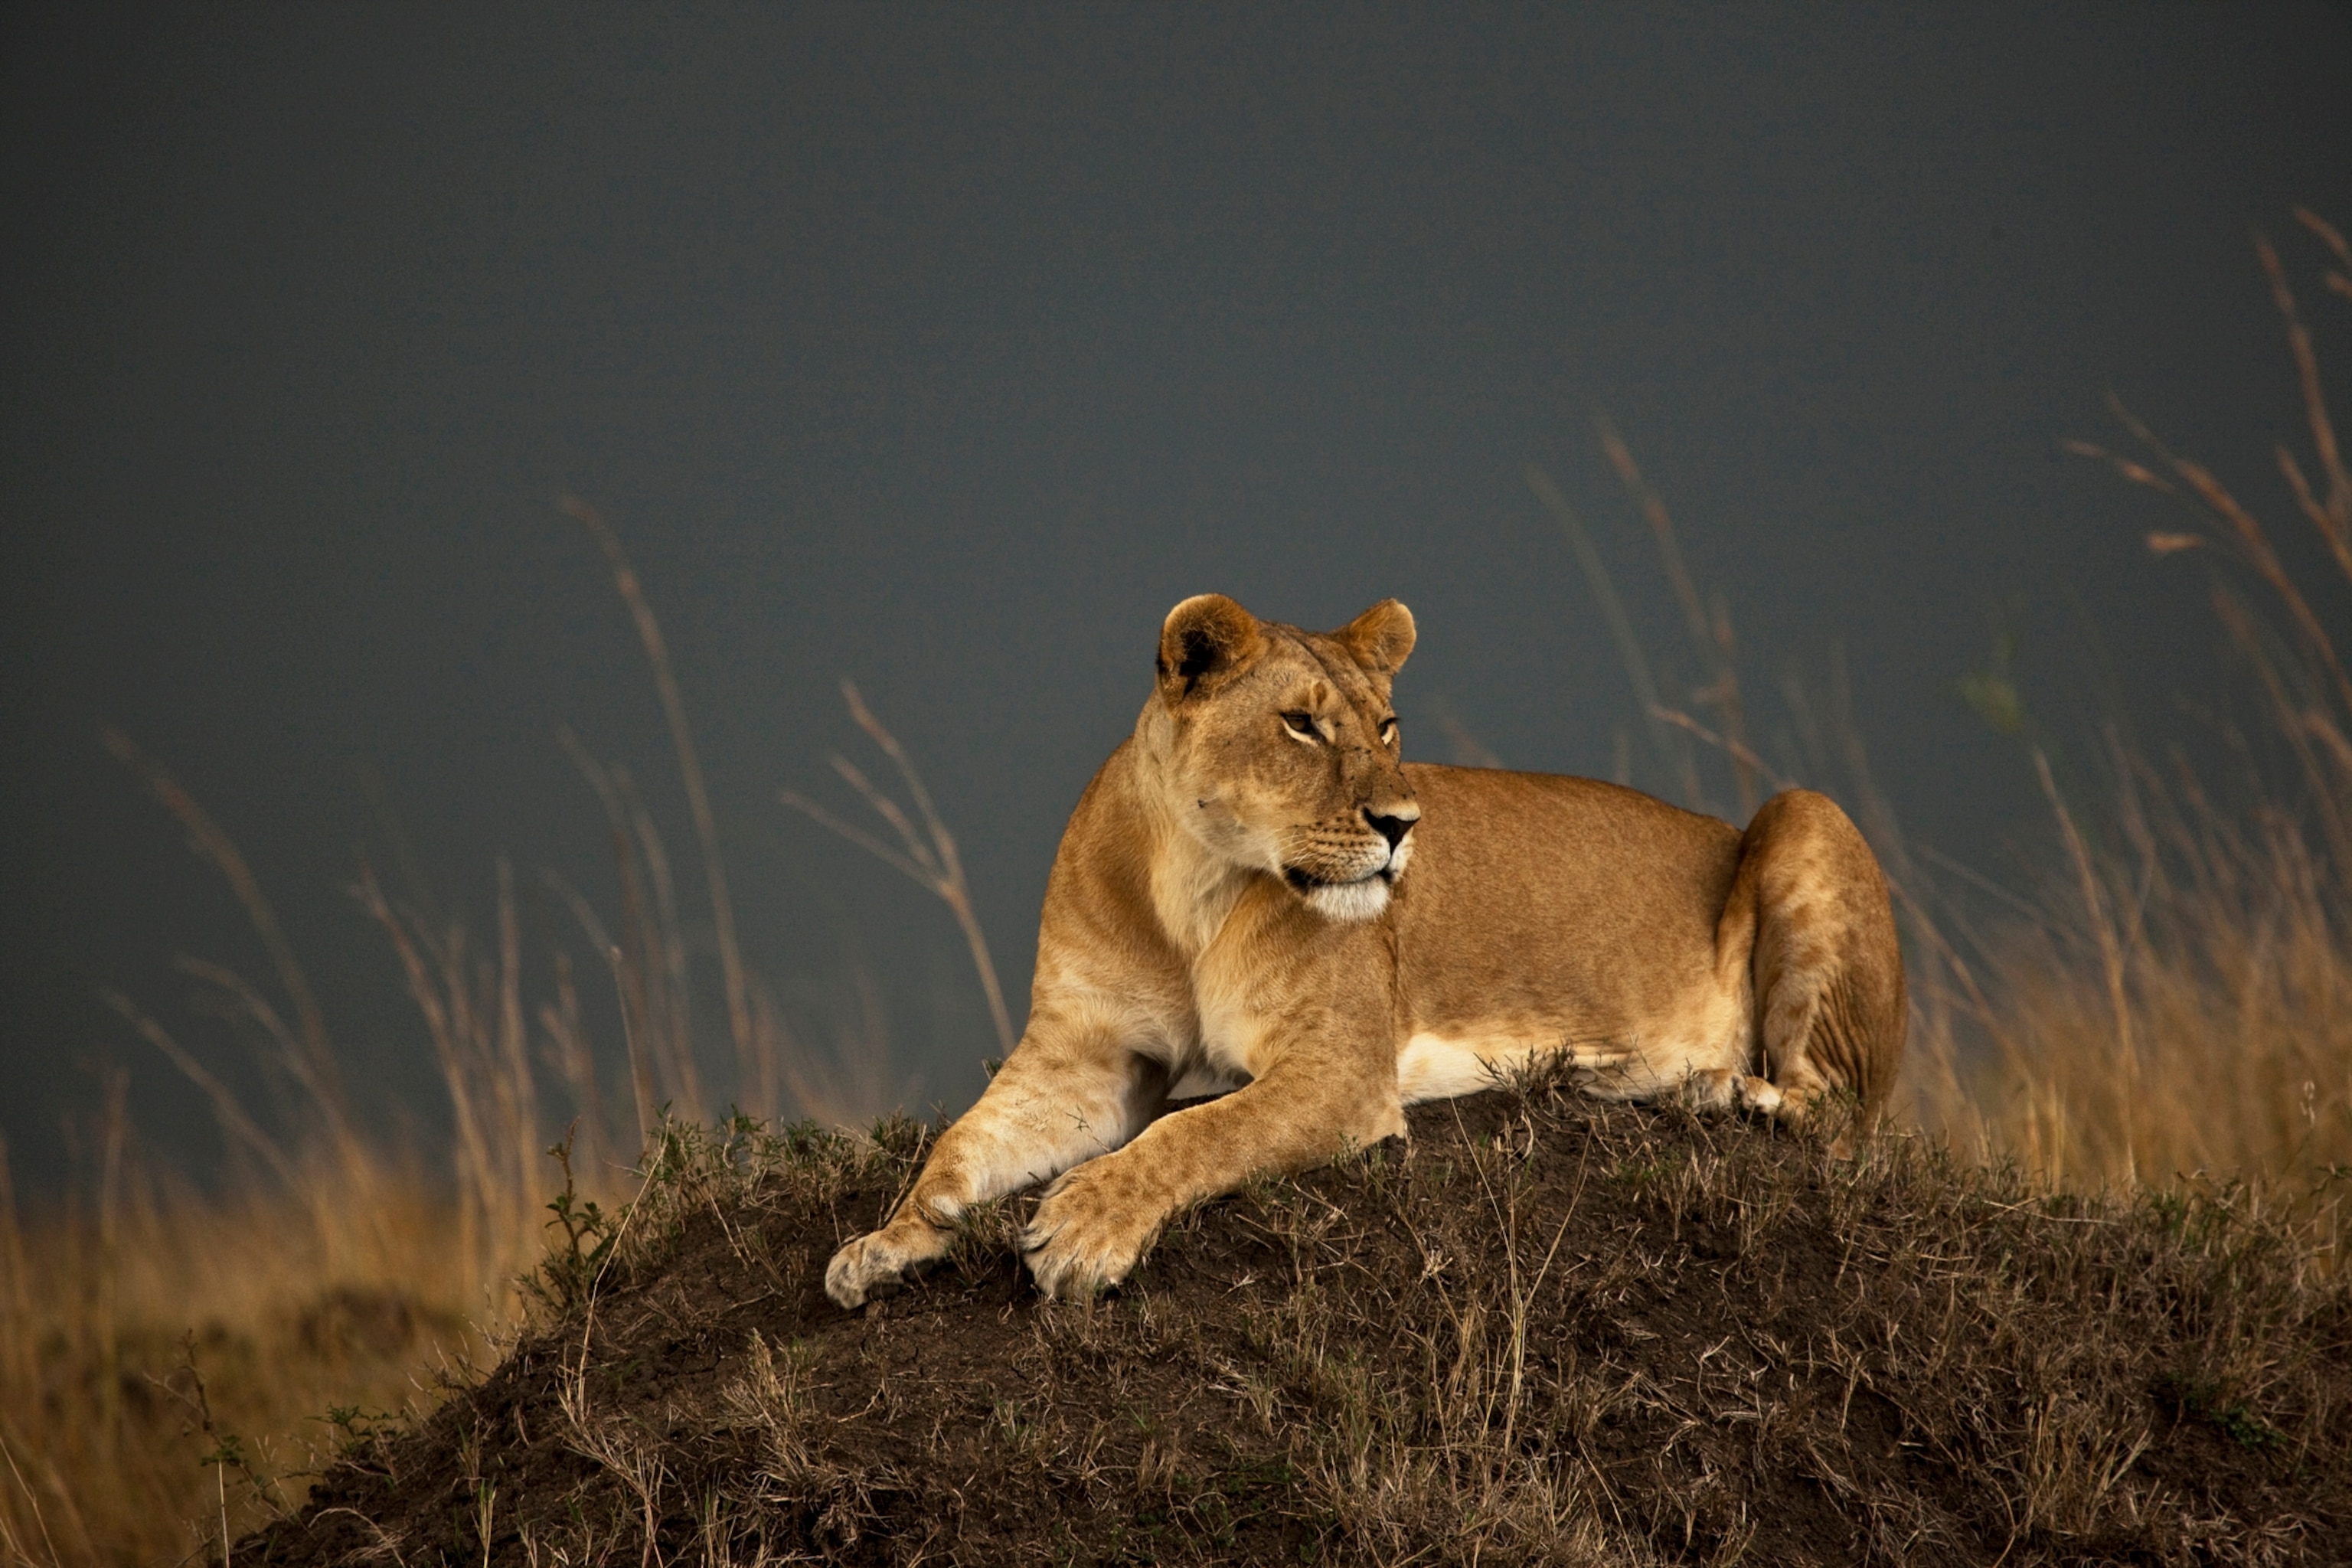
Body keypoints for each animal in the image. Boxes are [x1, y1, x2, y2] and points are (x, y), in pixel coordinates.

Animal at [825, 593, 1905, 1307]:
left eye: (1387, 726)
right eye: (1301, 724)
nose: (1401, 823)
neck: (1194, 880)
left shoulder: (1340, 1069)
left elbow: (1199, 1130)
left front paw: (1088, 1224)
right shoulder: (1085, 1057)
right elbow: (963, 1142)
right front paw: (888, 1239)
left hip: (1803, 809)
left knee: (1838, 1111)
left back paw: (1698, 1086)